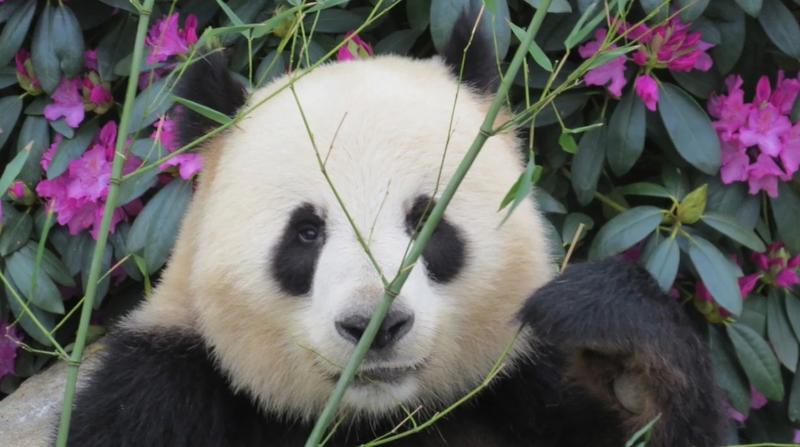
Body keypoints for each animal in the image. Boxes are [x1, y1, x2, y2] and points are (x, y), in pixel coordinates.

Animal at [61, 14, 726, 447]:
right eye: (306, 233)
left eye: (425, 220)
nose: (373, 327)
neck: (369, 417)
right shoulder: (162, 389)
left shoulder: (523, 383)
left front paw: (626, 366)